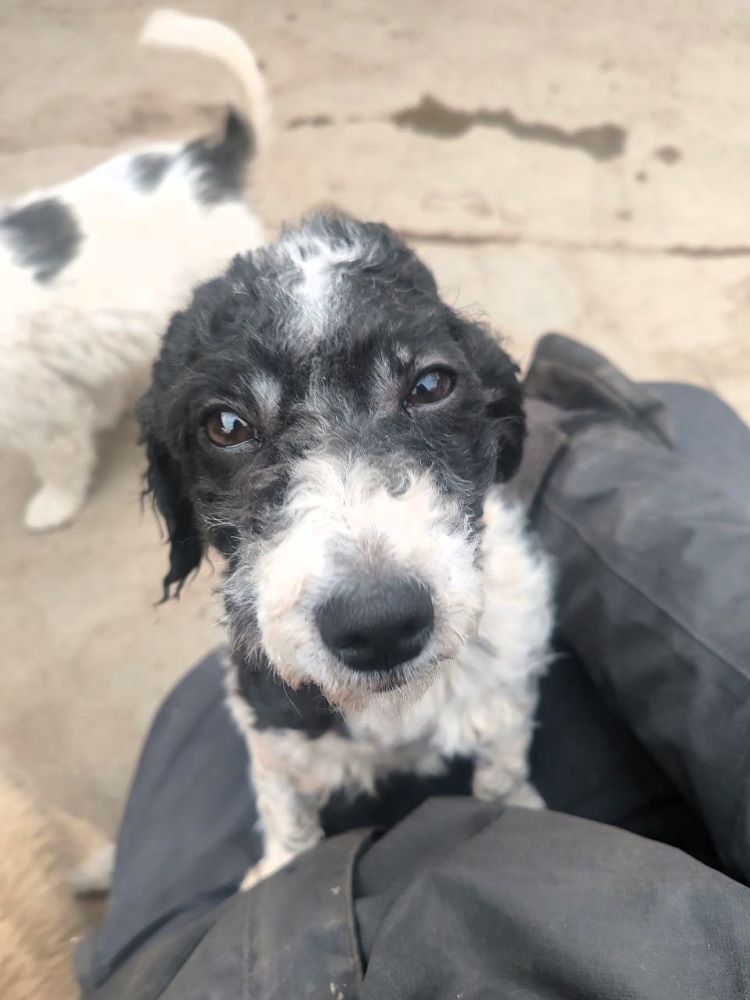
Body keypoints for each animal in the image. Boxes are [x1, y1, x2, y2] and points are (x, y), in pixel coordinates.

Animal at [140, 215, 552, 888]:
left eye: (431, 384)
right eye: (226, 425)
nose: (380, 624)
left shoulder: (506, 681)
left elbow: (504, 764)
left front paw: (516, 807)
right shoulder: (272, 728)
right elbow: (284, 805)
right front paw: (283, 867)